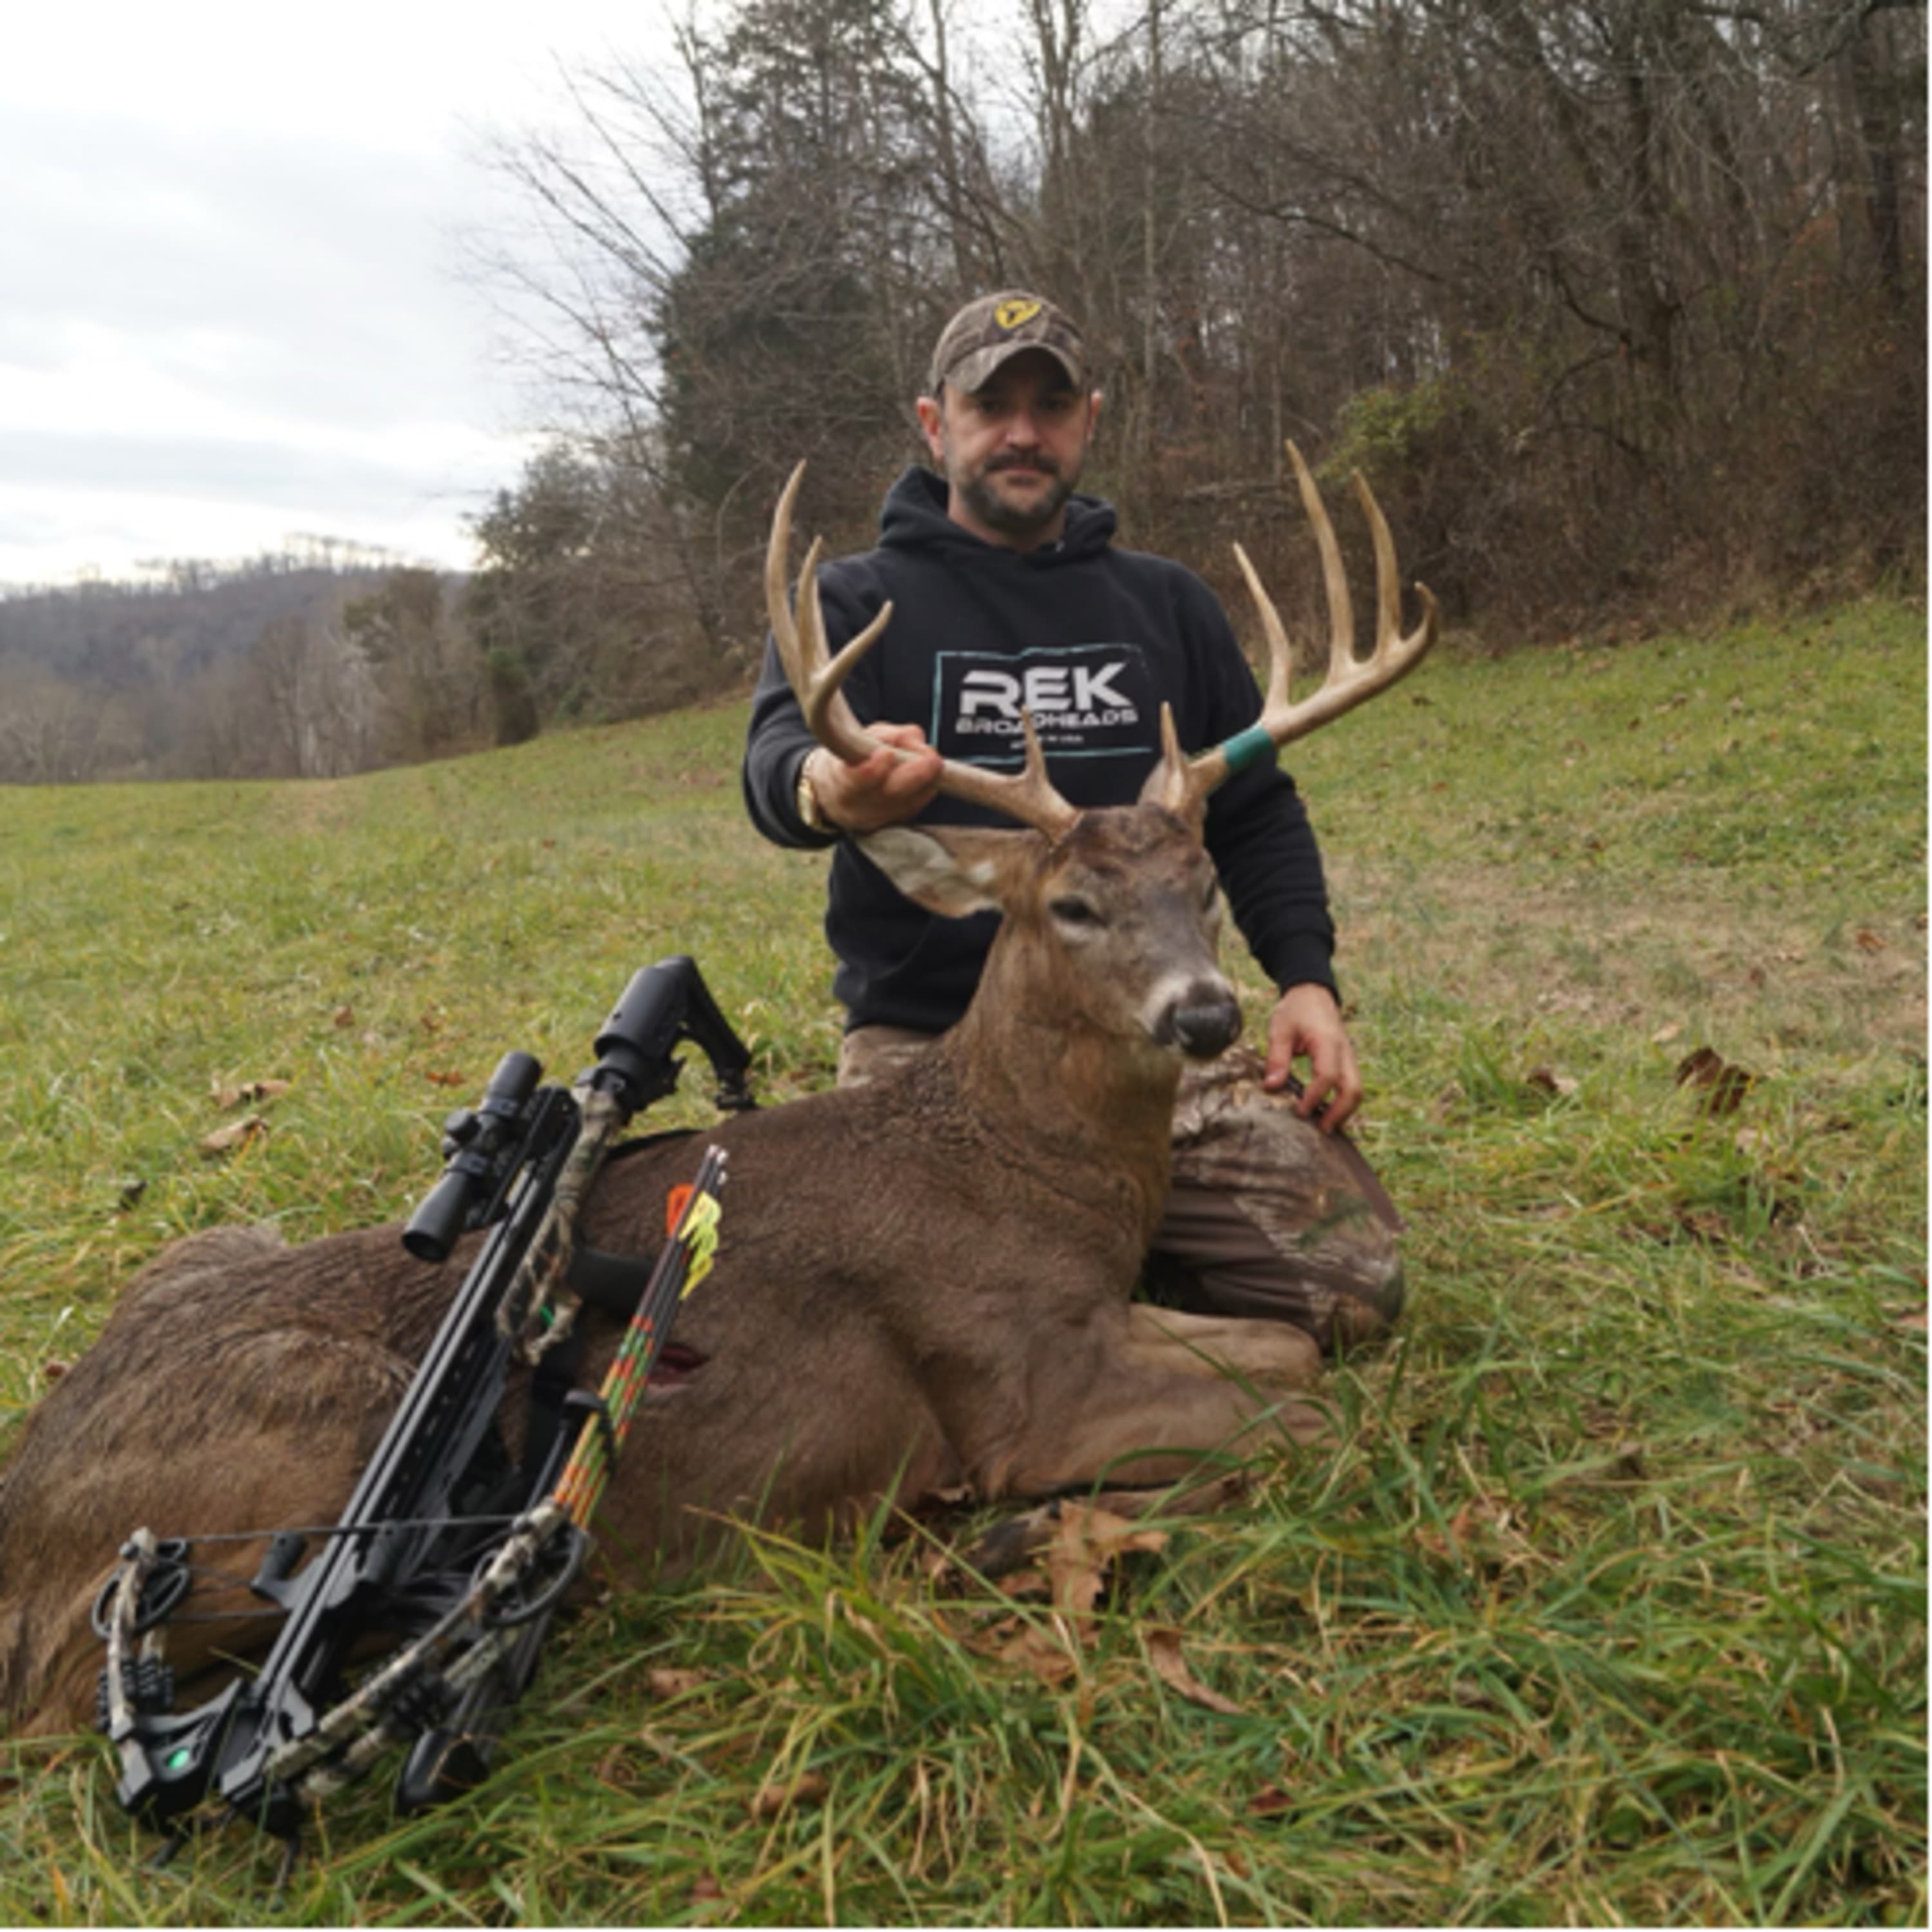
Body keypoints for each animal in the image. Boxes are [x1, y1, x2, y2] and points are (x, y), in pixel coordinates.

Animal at [0, 446, 1436, 1741]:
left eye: (1201, 882)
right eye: (1072, 904)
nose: (1206, 1013)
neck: (1030, 1168)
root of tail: (23, 1520)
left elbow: (1300, 1351)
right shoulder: (1017, 1379)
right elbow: (1305, 1408)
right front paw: (1023, 1532)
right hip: (316, 1433)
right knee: (77, 1702)